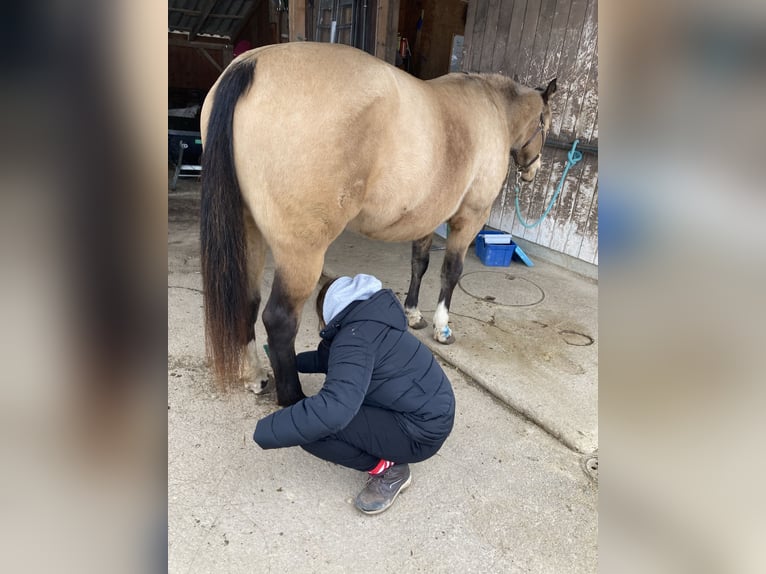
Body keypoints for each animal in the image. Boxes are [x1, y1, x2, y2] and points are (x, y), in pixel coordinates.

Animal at [201, 42, 556, 408]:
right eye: (546, 123)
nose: (532, 170)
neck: (491, 108)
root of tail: (250, 64)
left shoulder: (426, 219)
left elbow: (419, 265)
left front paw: (413, 314)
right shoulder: (469, 217)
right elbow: (451, 272)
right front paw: (442, 327)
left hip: (249, 234)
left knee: (247, 301)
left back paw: (254, 376)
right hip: (301, 252)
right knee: (279, 320)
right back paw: (293, 396)